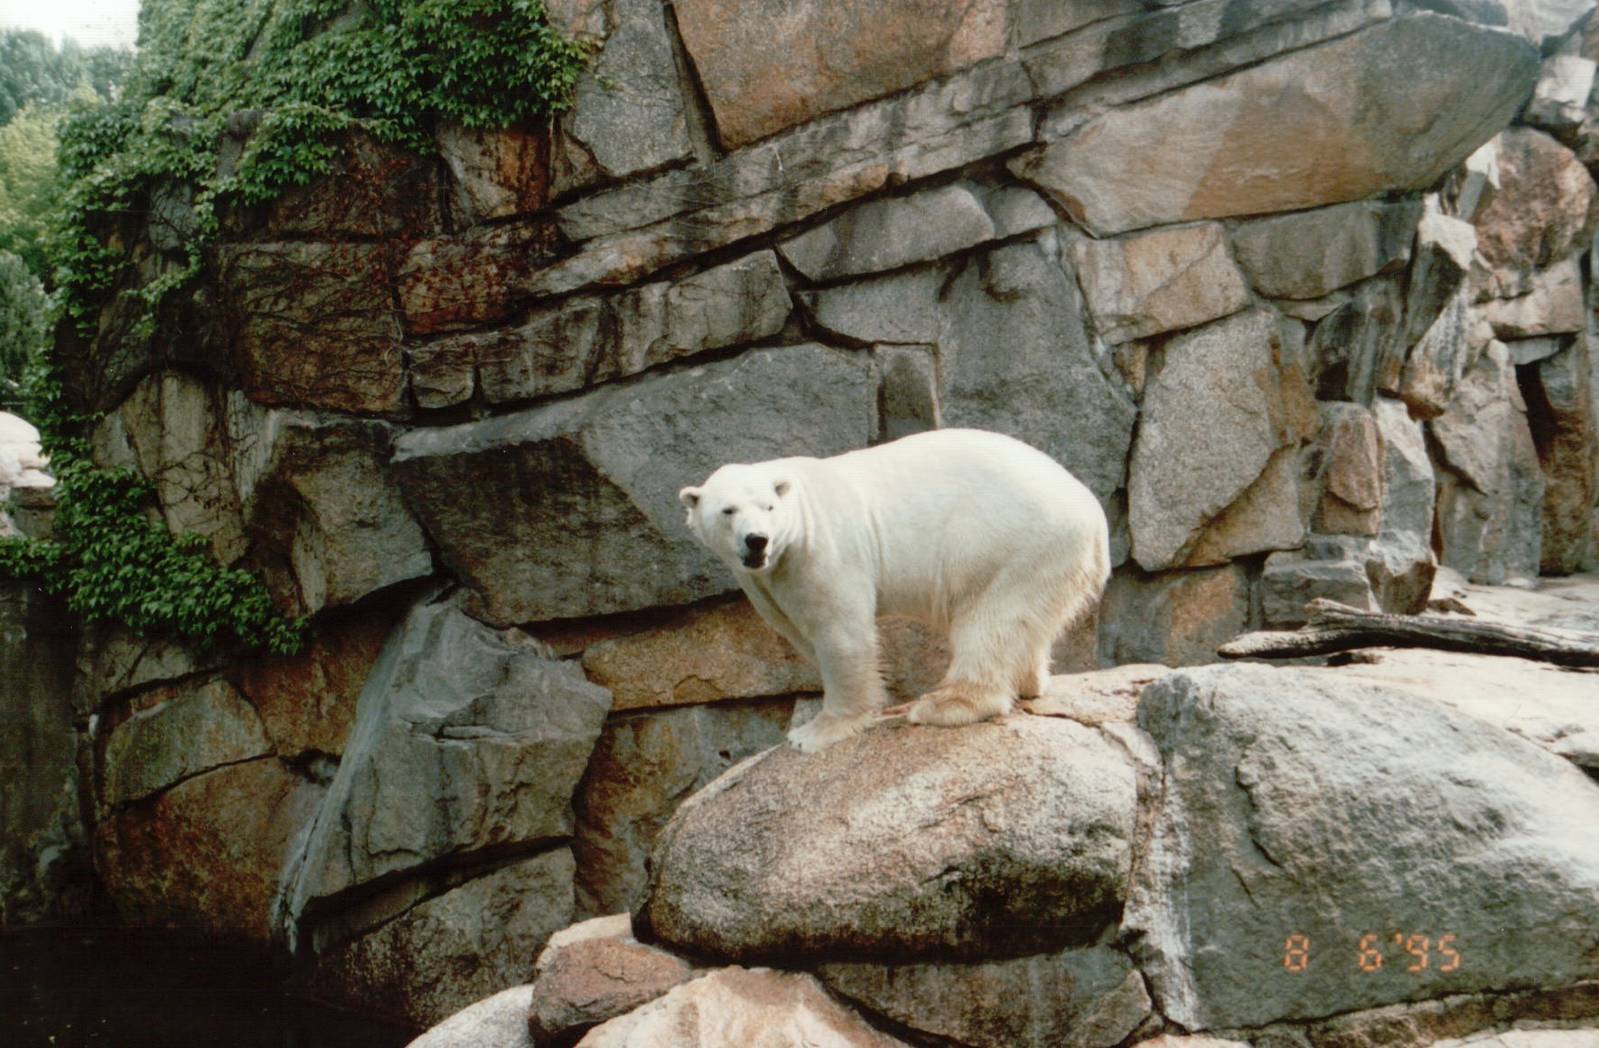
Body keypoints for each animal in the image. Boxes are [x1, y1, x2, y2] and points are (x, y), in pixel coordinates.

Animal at [679, 428, 1110, 753]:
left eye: (768, 507)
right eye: (728, 510)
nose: (757, 541)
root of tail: (1093, 514)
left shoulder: (822, 551)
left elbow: (841, 634)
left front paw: (815, 732)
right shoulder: (765, 582)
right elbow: (799, 630)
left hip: (1010, 542)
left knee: (990, 621)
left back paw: (943, 705)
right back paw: (1028, 682)